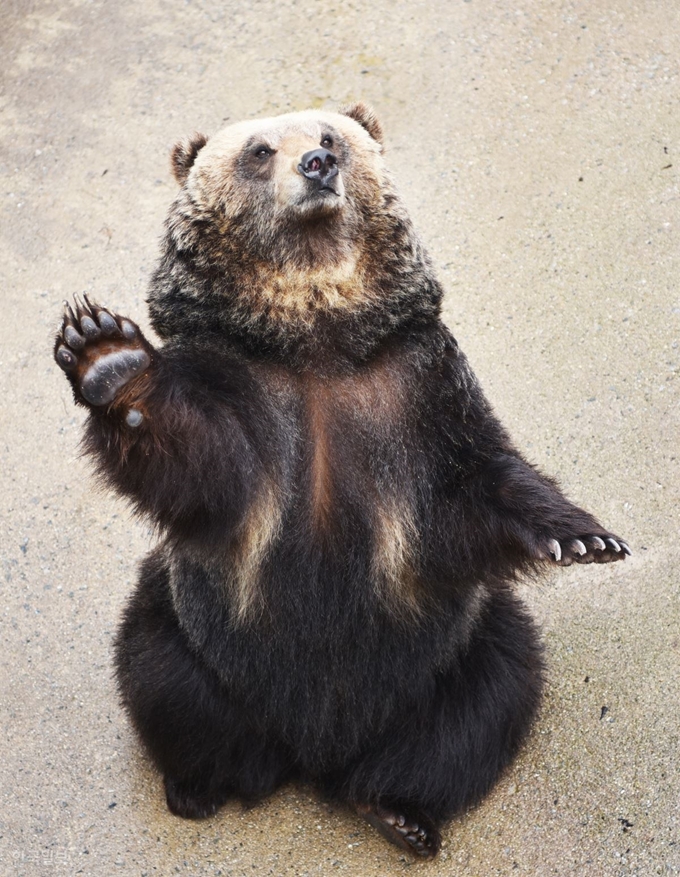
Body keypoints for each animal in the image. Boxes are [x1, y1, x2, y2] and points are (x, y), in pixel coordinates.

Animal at [54, 102, 632, 856]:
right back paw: (198, 785)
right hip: (198, 633)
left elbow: (475, 477)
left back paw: (399, 810)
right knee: (160, 678)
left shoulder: (417, 386)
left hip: (450, 652)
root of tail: (314, 748)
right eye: (260, 150)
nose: (317, 164)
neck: (316, 336)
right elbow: (200, 465)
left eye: (330, 136)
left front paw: (587, 539)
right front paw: (106, 354)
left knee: (491, 694)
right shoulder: (243, 391)